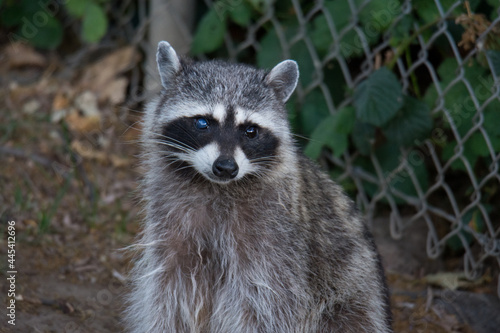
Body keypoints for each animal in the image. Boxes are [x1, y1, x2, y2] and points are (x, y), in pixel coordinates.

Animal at [124, 41, 390, 332]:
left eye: (250, 131)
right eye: (203, 123)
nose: (226, 167)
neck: (217, 186)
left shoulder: (275, 241)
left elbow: (263, 305)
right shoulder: (170, 224)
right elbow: (169, 291)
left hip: (353, 296)